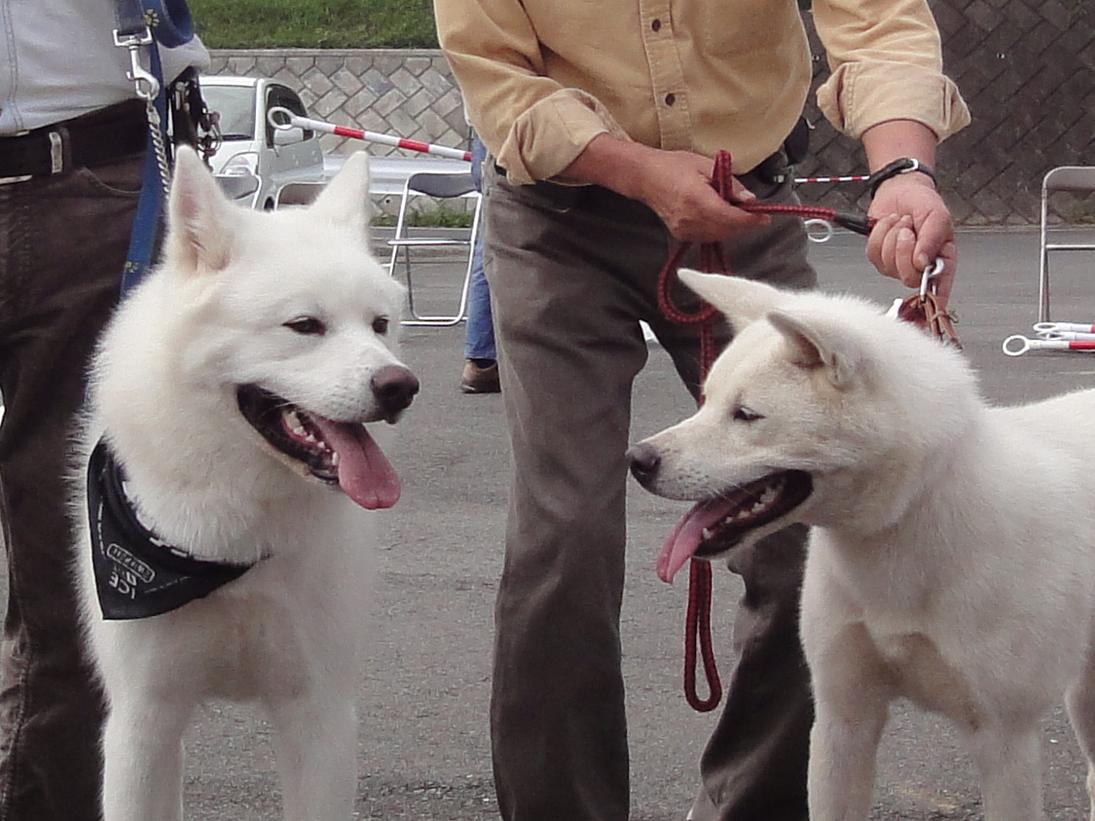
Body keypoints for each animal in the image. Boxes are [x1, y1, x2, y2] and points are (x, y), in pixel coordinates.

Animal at [70, 147, 416, 821]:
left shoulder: (320, 718)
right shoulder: (141, 722)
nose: (400, 387)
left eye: (379, 324)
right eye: (305, 325)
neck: (232, 535)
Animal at [630, 271, 1095, 821]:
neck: (909, 521)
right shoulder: (842, 722)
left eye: (746, 414)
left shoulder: (1006, 739)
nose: (637, 460)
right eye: (705, 400)